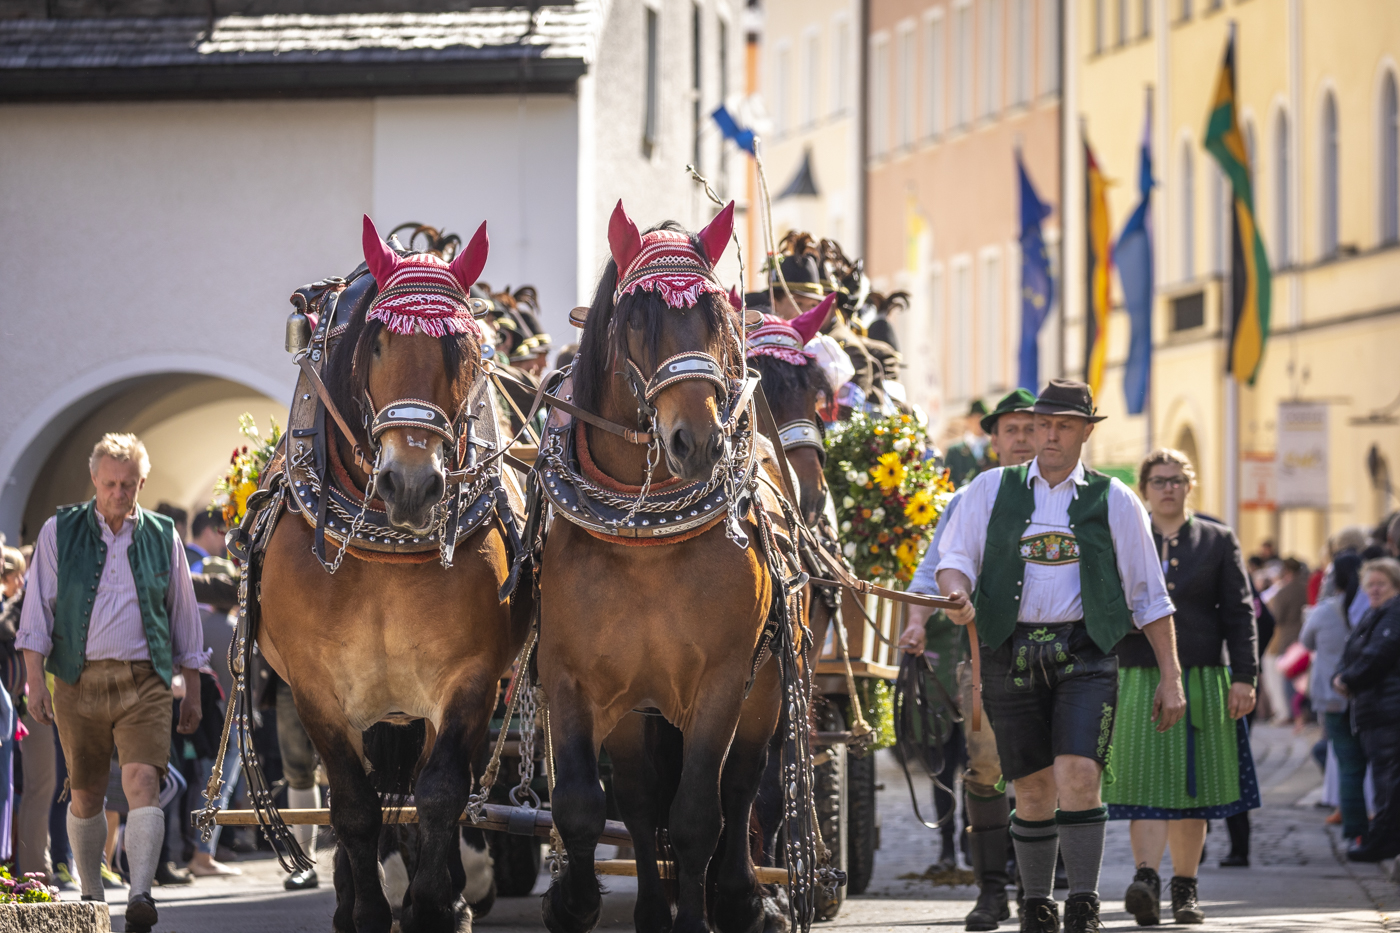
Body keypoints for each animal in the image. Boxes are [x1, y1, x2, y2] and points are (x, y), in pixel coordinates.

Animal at [257, 219, 526, 930]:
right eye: (375, 341)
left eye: (463, 345)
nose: (410, 484)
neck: (386, 554)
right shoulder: (316, 691)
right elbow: (353, 806)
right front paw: (371, 911)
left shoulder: (469, 680)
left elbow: (440, 794)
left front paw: (438, 905)